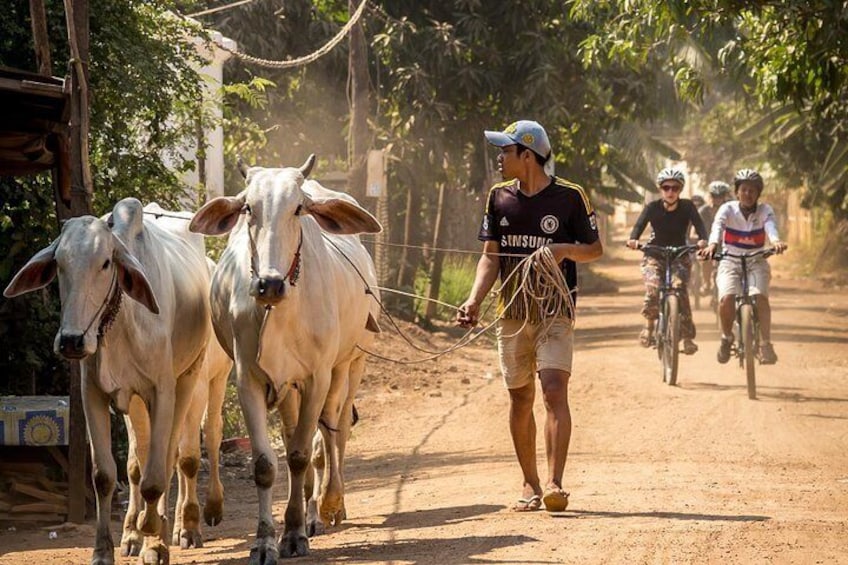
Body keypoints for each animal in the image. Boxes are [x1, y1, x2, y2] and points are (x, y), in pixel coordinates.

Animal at [5, 197, 215, 564]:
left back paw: (180, 528)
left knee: (175, 457)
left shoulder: (162, 392)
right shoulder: (93, 395)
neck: (121, 322)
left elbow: (156, 476)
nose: (72, 340)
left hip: (190, 378)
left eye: (105, 263)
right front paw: (106, 549)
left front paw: (155, 539)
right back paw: (134, 532)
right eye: (59, 263)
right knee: (139, 461)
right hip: (137, 405)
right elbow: (105, 476)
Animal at [192, 153, 380, 560]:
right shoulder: (249, 379)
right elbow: (267, 463)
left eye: (298, 209)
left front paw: (294, 533)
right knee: (301, 434)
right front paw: (266, 540)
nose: (270, 283)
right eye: (248, 207)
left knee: (334, 431)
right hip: (290, 387)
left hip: (349, 365)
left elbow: (300, 455)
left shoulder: (317, 377)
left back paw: (331, 503)